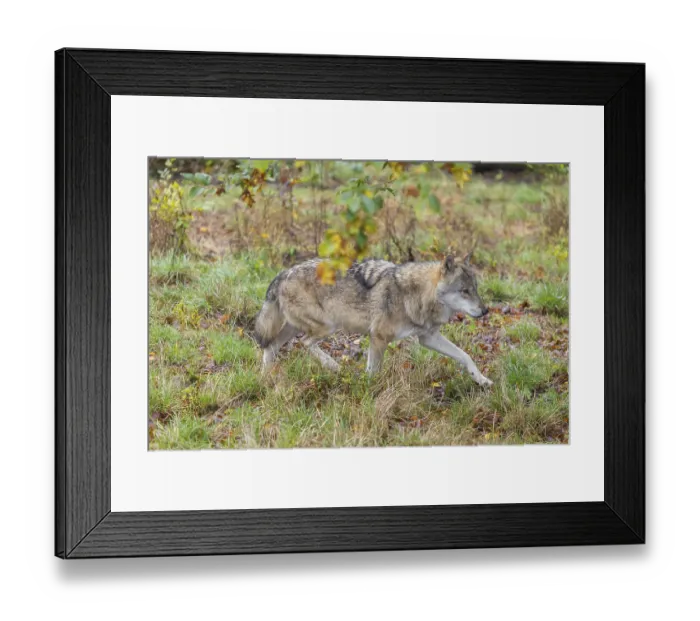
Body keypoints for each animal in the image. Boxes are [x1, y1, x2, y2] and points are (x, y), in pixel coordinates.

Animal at [254, 254, 493, 386]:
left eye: (475, 289)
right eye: (464, 291)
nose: (485, 311)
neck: (415, 294)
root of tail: (283, 273)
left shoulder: (428, 338)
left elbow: (465, 356)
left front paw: (481, 380)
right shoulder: (378, 337)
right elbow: (373, 372)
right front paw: (368, 391)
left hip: (294, 328)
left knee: (270, 346)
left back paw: (265, 378)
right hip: (327, 326)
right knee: (304, 343)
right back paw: (332, 365)